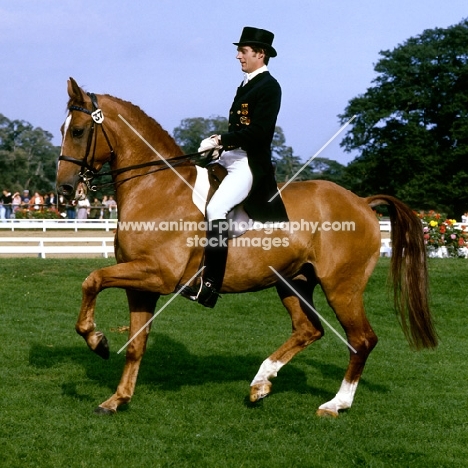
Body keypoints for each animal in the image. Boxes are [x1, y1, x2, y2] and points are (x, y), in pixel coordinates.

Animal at [56, 79, 436, 416]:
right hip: (294, 282)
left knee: (362, 339)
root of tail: (362, 201)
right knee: (308, 329)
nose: (64, 189)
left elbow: (92, 279)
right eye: (64, 128)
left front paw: (97, 340)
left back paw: (335, 404)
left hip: (342, 287)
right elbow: (136, 344)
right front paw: (116, 399)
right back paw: (261, 383)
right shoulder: (142, 285)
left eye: (78, 131)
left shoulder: (156, 275)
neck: (156, 188)